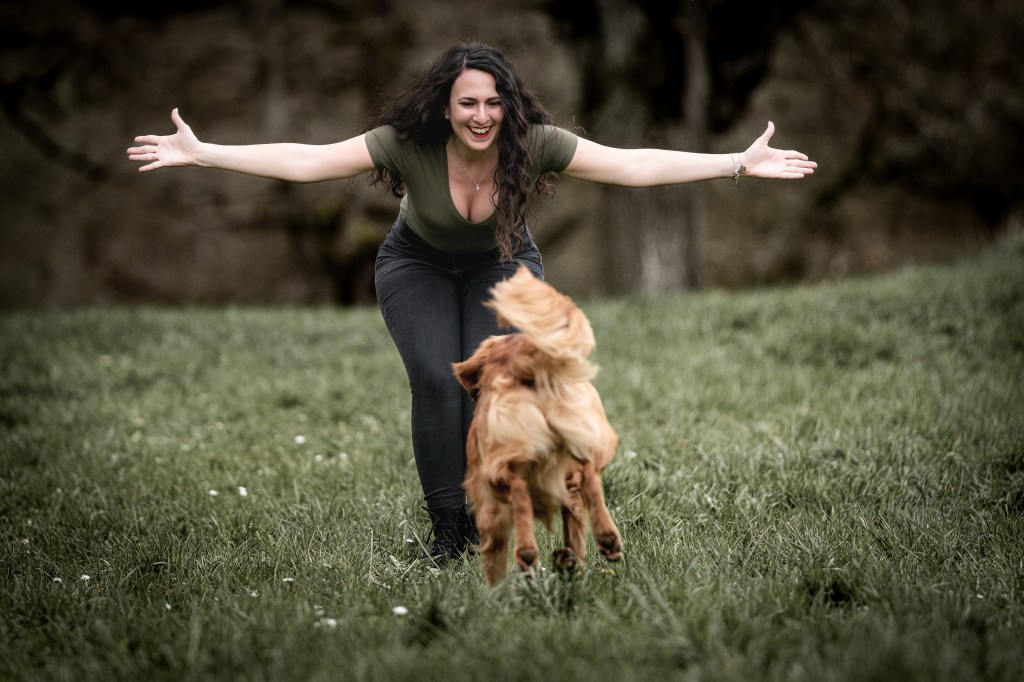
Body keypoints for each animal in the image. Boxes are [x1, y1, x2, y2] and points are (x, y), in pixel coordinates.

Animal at [453, 266, 623, 584]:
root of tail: (525, 364)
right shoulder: (570, 497)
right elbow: (575, 530)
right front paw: (569, 562)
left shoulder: (490, 513)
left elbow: (494, 564)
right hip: (592, 435)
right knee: (589, 471)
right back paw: (607, 538)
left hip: (498, 471)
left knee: (520, 491)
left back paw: (527, 553)